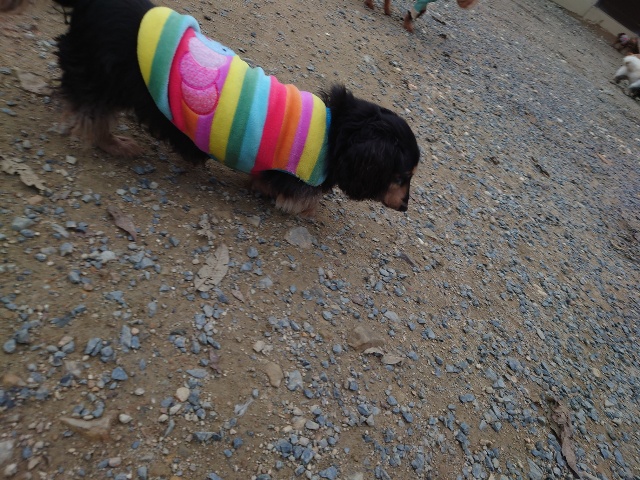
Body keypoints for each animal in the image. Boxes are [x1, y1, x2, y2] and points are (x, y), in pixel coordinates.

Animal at [53, 0, 420, 216]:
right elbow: (301, 199)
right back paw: (115, 144)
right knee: (90, 114)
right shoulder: (295, 179)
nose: (405, 206)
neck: (338, 131)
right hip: (107, 78)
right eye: (401, 176)